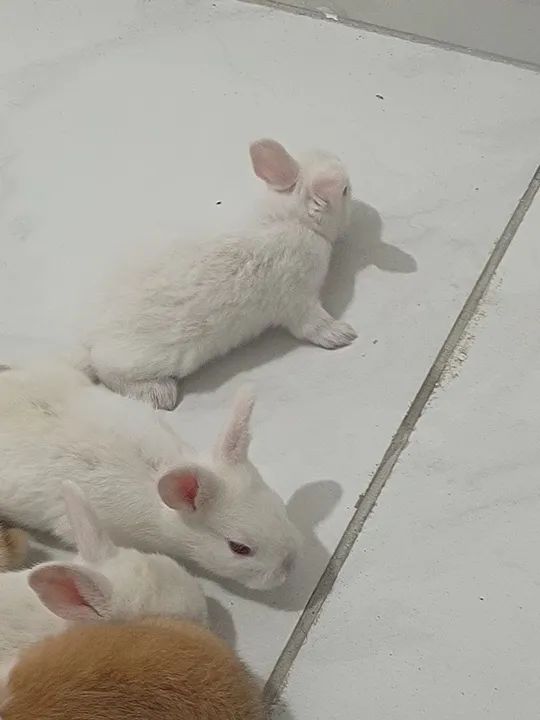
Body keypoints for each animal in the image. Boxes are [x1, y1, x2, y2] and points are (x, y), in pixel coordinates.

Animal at [78, 137, 355, 411]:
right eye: (344, 191)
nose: (351, 189)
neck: (293, 218)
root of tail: (88, 337)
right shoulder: (300, 300)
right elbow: (314, 324)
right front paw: (343, 335)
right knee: (108, 372)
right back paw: (161, 394)